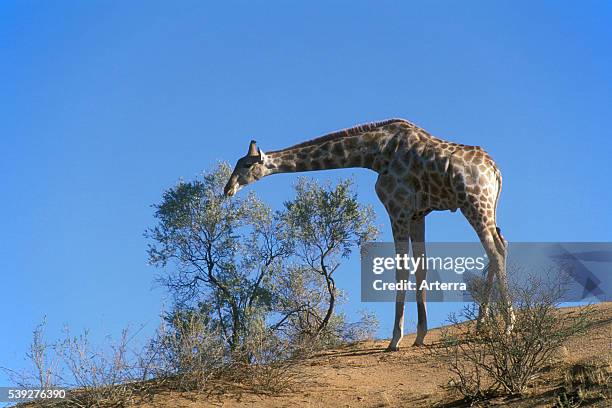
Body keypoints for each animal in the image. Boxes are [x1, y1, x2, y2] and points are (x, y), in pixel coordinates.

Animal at [222, 118, 512, 350]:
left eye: (246, 165)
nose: (227, 189)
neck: (375, 154)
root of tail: (496, 171)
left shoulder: (397, 208)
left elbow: (401, 269)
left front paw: (395, 339)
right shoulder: (418, 214)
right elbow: (421, 267)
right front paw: (420, 336)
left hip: (474, 203)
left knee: (495, 252)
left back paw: (508, 324)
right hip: (486, 207)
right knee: (501, 246)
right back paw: (481, 324)